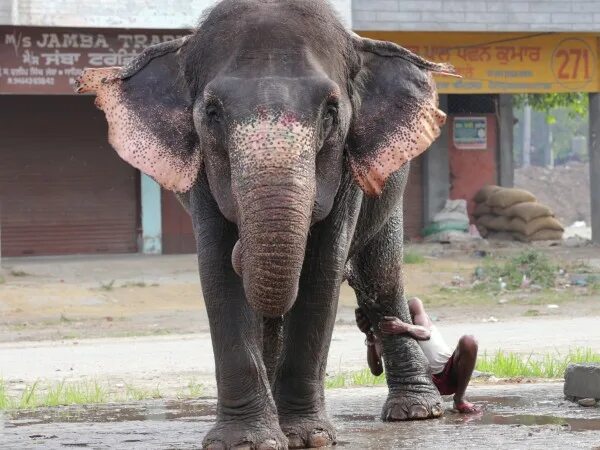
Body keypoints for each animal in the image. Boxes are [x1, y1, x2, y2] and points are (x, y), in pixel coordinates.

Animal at [76, 0, 454, 446]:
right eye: (212, 112)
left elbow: (322, 268)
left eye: (331, 111)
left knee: (382, 278)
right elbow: (218, 268)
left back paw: (415, 412)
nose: (245, 248)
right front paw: (246, 441)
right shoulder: (203, 173)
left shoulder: (346, 168)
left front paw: (308, 437)